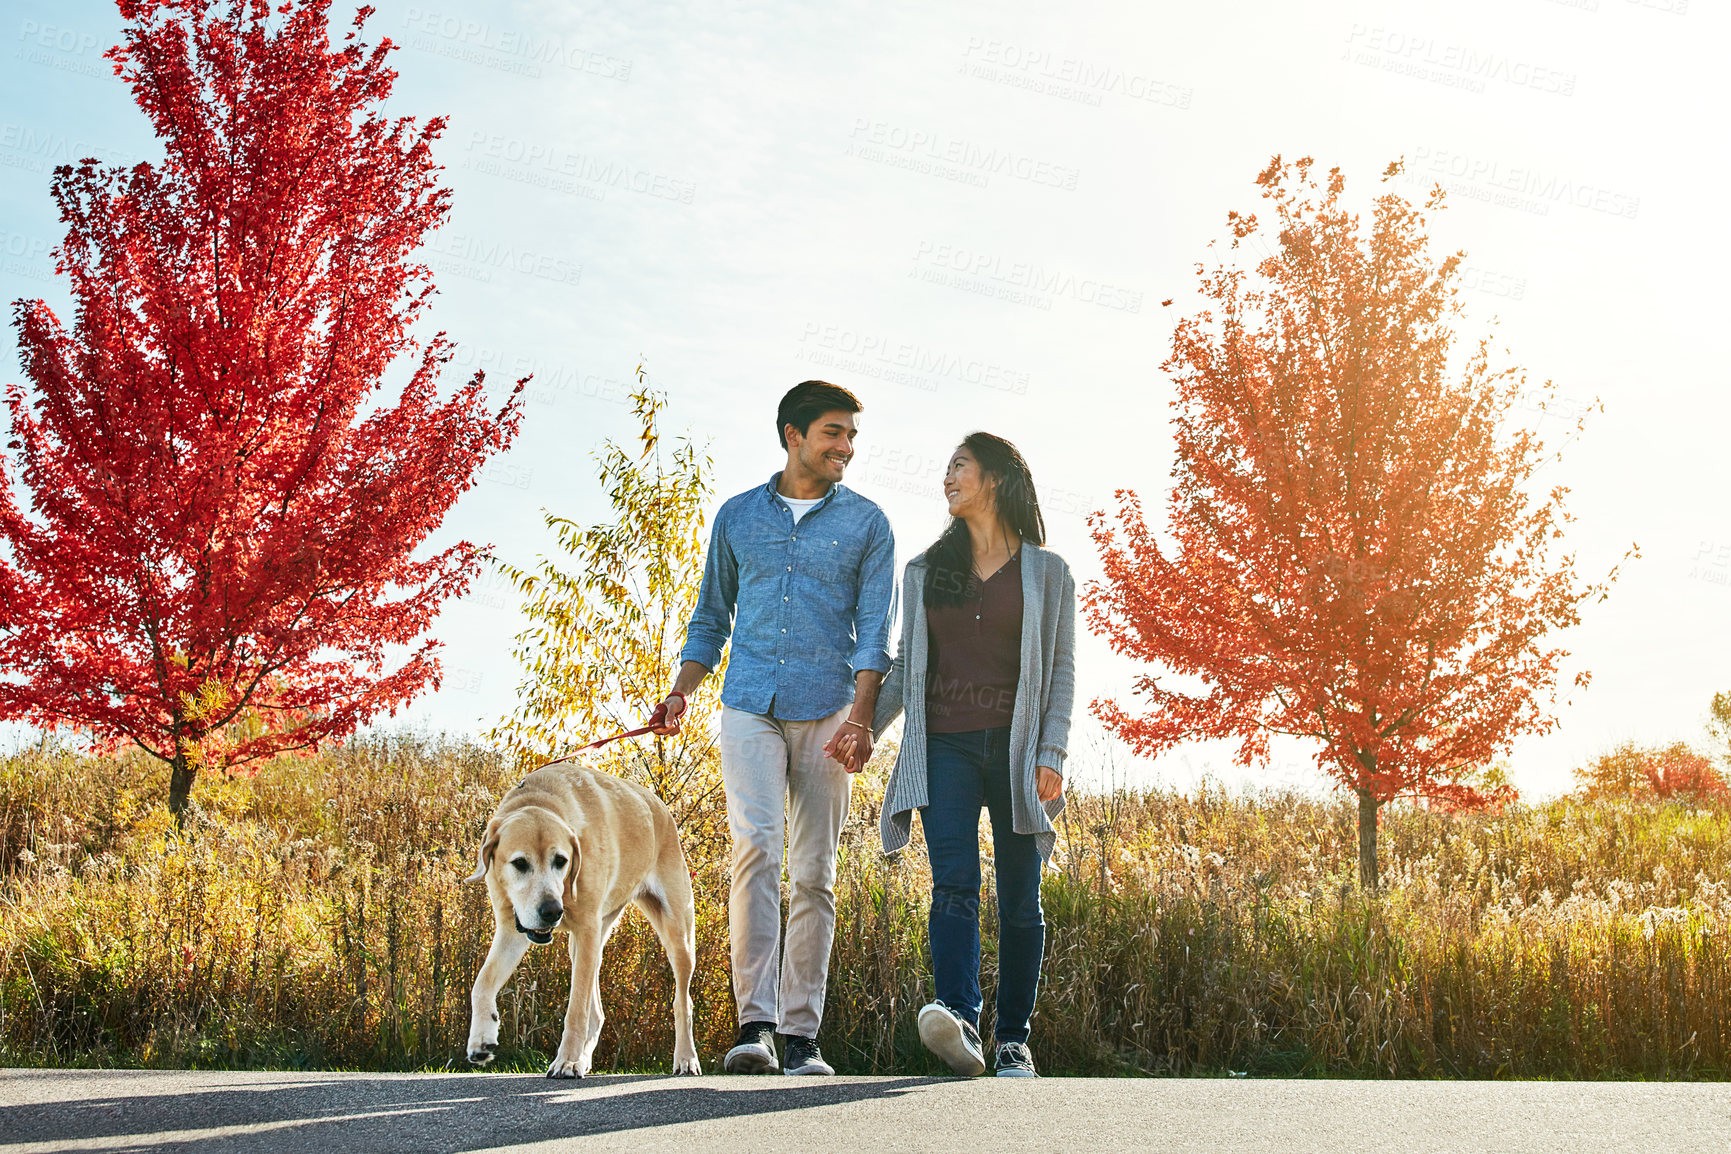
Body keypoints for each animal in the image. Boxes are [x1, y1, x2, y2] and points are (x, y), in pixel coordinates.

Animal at [467, 761, 702, 1079]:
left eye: (561, 861)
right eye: (519, 863)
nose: (552, 911)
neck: (542, 799)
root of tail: (659, 806)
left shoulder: (586, 929)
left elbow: (576, 1010)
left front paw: (566, 1060)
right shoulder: (511, 931)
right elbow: (481, 983)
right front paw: (481, 1038)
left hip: (677, 935)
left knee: (682, 1002)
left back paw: (686, 1058)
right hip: (584, 946)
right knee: (598, 1012)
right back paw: (583, 1058)